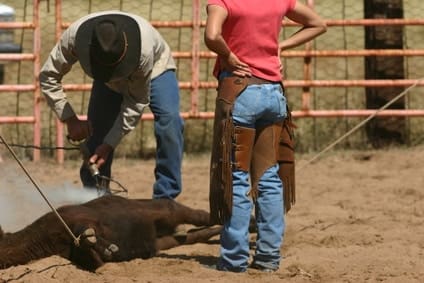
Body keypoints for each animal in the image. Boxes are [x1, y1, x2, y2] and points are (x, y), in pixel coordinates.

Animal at [0, 196, 219, 272]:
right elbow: (96, 259)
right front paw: (102, 249)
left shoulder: (79, 219)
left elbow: (87, 230)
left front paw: (101, 244)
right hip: (162, 241)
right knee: (190, 236)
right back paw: (213, 234)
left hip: (159, 210)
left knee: (191, 213)